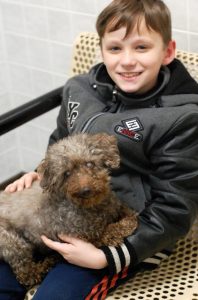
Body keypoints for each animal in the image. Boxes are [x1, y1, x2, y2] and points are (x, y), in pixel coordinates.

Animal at [0, 133, 137, 288]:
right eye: (67, 173)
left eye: (89, 164)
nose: (85, 190)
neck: (94, 206)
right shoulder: (87, 236)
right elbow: (112, 230)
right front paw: (125, 226)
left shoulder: (115, 207)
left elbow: (126, 212)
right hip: (14, 243)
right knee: (28, 275)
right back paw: (50, 261)